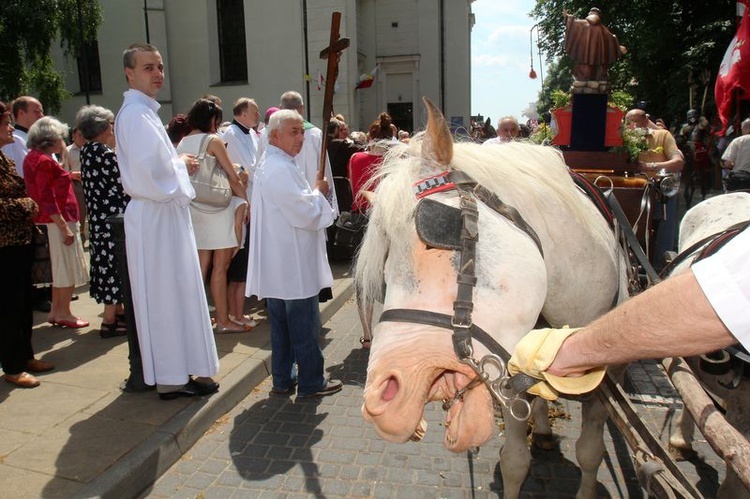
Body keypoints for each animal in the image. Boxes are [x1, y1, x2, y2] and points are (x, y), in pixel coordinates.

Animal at [356, 98, 632, 499]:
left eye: (438, 233)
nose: (382, 398)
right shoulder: (510, 373)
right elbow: (515, 460)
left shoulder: (609, 378)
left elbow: (591, 451)